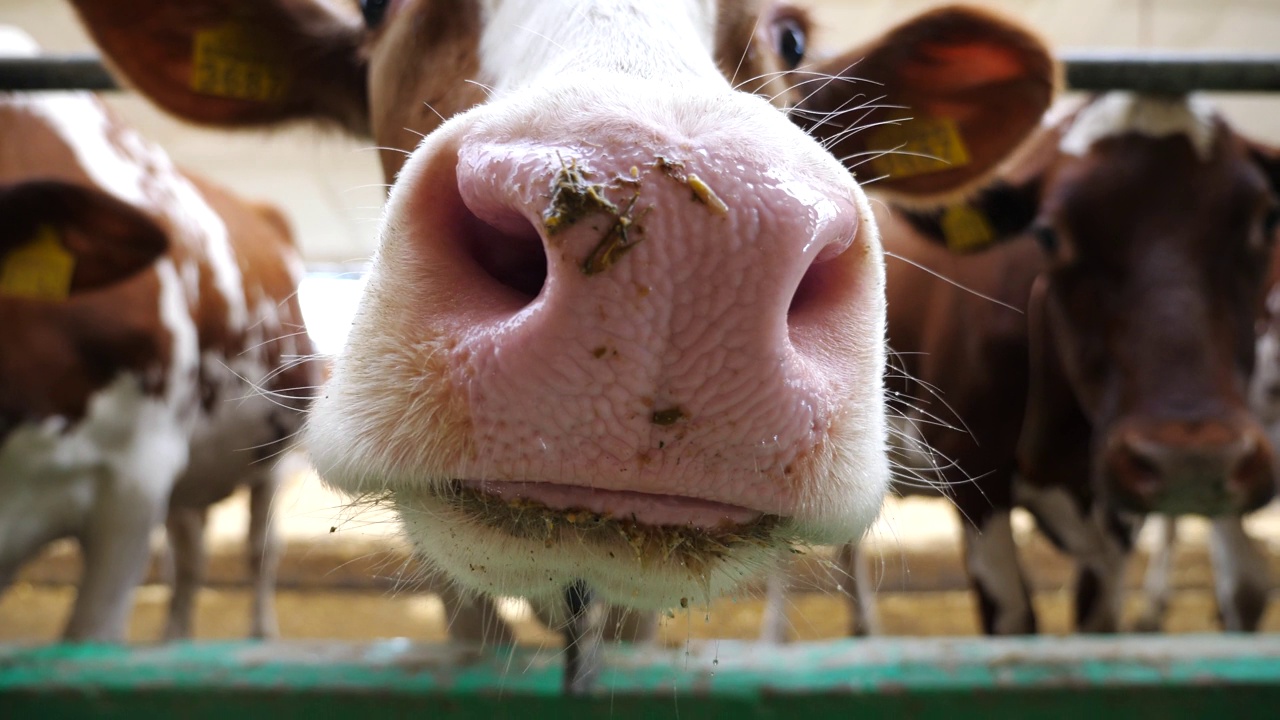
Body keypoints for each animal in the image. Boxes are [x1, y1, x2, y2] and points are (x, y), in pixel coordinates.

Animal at [798, 92, 1280, 635]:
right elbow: (1014, 620)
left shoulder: (1115, 509)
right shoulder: (974, 470)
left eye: (1268, 219)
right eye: (1048, 234)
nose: (1191, 461)